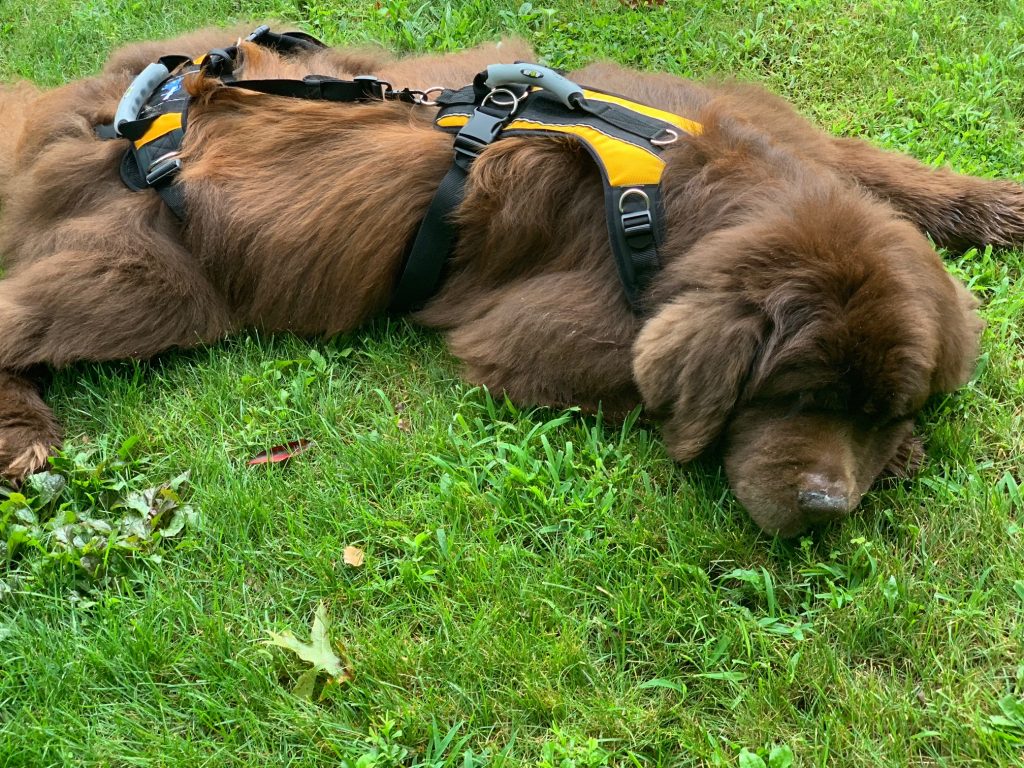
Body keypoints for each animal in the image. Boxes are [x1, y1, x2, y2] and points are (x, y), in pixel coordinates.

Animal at [2, 28, 1024, 536]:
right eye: (798, 394)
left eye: (887, 404)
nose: (825, 510)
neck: (688, 189)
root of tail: (126, 110)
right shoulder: (545, 329)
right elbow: (635, 375)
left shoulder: (807, 146)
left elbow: (882, 165)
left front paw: (999, 205)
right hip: (149, 278)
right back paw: (24, 438)